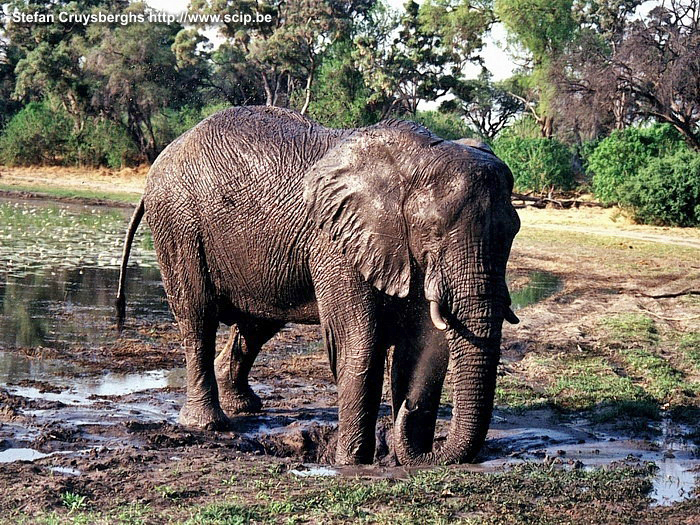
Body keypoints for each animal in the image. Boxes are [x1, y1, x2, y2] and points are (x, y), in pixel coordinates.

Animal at [115, 105, 520, 462]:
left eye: (514, 230)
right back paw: (209, 424)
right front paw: (351, 462)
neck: (415, 159)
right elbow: (359, 343)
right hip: (178, 223)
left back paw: (244, 406)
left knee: (257, 325)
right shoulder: (337, 243)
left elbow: (418, 347)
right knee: (197, 316)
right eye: (433, 230)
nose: (406, 411)